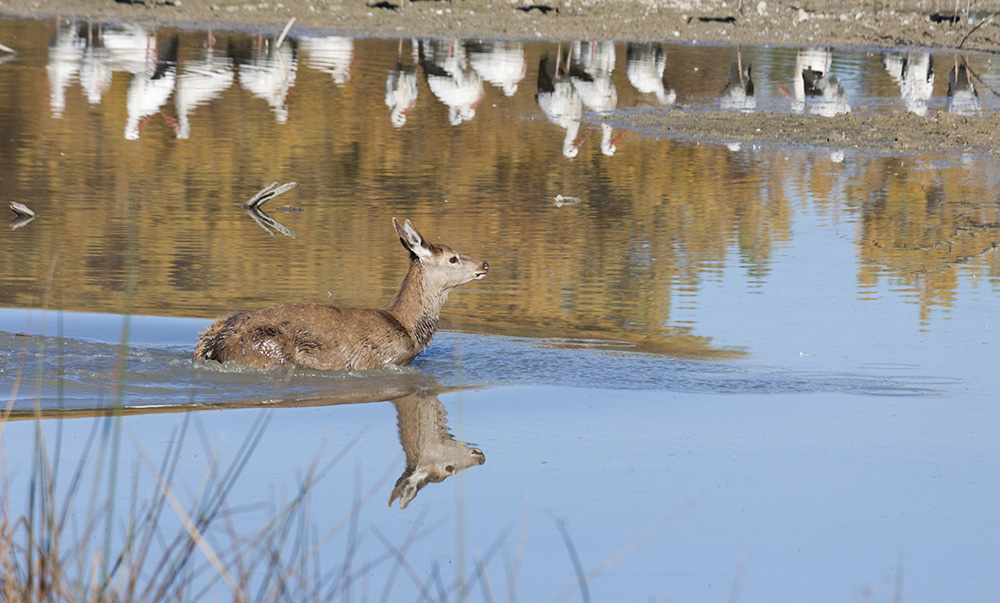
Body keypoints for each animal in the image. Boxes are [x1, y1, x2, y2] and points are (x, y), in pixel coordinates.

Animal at [192, 205, 488, 370]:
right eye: (453, 258)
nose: (484, 264)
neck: (408, 329)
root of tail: (212, 340)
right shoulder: (376, 361)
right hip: (266, 349)